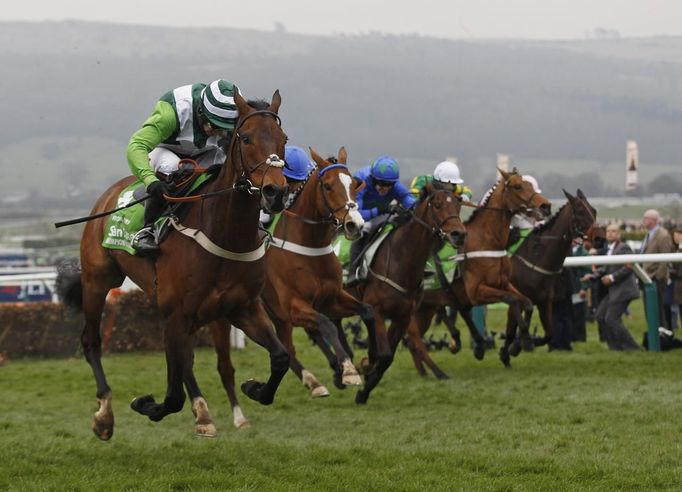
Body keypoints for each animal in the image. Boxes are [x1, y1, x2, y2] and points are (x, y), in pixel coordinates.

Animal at [57, 90, 290, 440]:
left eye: (283, 139)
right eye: (246, 138)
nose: (276, 192)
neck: (223, 233)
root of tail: (110, 194)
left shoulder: (242, 308)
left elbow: (280, 357)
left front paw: (254, 388)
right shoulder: (177, 313)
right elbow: (172, 396)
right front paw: (145, 405)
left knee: (186, 361)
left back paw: (203, 413)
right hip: (98, 281)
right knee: (91, 342)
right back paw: (104, 415)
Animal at [342, 182, 464, 404]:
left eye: (458, 204)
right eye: (438, 205)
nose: (459, 234)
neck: (403, 260)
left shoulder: (403, 316)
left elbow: (386, 357)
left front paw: (364, 389)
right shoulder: (378, 311)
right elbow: (384, 354)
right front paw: (365, 370)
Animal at [402, 169, 548, 376]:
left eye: (529, 184)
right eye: (518, 186)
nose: (546, 205)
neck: (487, 240)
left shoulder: (503, 283)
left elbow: (526, 302)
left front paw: (521, 342)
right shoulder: (476, 292)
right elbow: (512, 300)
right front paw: (522, 343)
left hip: (426, 309)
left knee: (413, 340)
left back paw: (424, 371)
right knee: (413, 339)